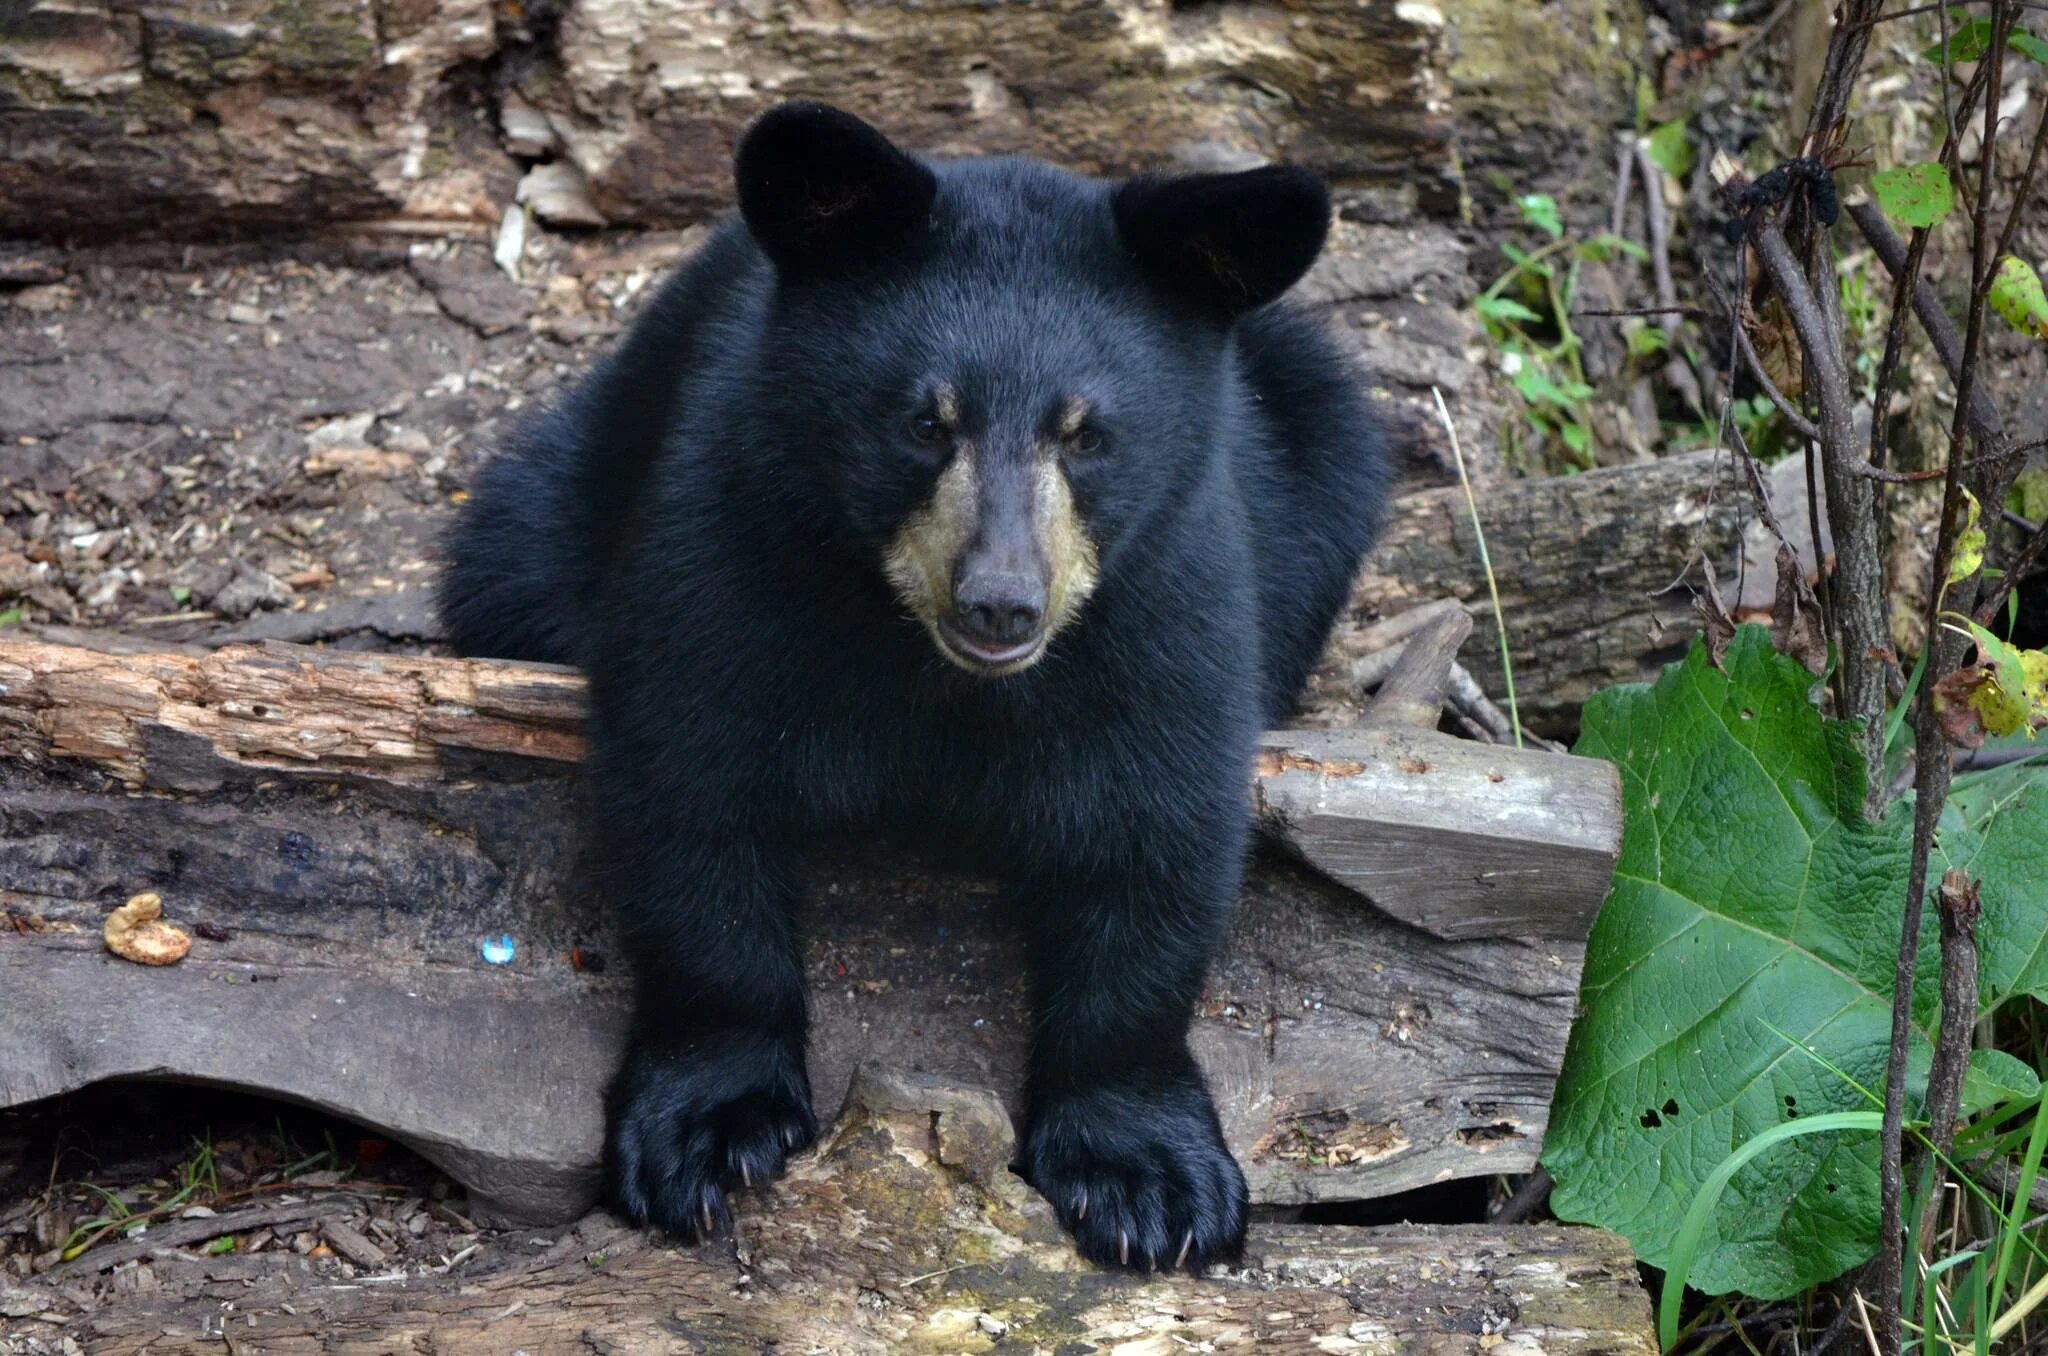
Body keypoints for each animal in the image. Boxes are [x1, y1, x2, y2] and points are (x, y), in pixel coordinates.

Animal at [438, 103, 1384, 1278]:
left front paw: (1148, 1179)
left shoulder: (1173, 592)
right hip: (563, 501)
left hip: (1318, 453)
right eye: (926, 422)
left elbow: (1153, 835)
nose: (1001, 604)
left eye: (1086, 433)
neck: (939, 673)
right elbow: (690, 793)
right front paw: (707, 1129)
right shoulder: (731, 538)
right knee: (511, 553)